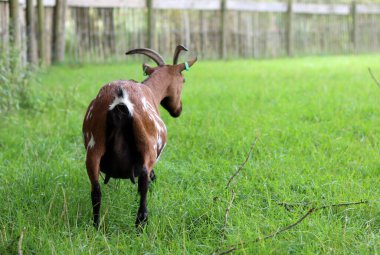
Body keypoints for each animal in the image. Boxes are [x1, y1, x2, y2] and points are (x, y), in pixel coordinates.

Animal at [82, 44, 197, 228]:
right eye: (183, 80)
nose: (178, 110)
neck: (151, 90)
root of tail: (121, 102)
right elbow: (151, 178)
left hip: (93, 150)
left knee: (96, 190)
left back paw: (96, 225)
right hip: (147, 148)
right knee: (144, 182)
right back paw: (141, 223)